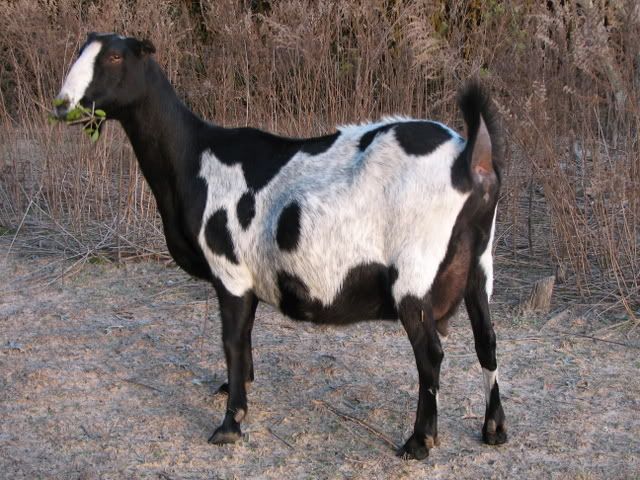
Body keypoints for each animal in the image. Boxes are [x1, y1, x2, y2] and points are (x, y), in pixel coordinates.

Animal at [54, 33, 507, 460]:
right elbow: (245, 338)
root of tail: (468, 158)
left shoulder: (230, 269)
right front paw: (235, 388)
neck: (195, 156)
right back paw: (494, 430)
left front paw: (230, 424)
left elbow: (232, 341)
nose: (62, 105)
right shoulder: (250, 276)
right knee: (486, 339)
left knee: (430, 353)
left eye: (115, 56)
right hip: (479, 262)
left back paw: (419, 441)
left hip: (414, 270)